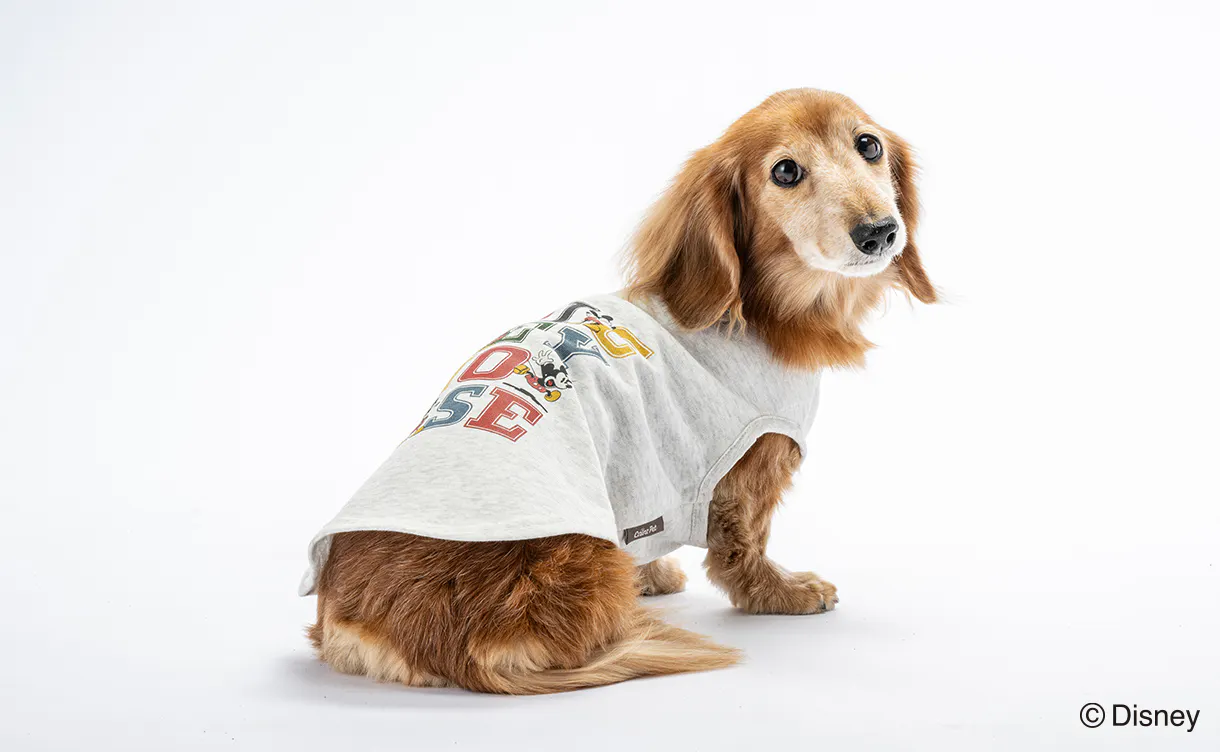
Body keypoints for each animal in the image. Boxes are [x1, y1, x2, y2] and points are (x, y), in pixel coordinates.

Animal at [301, 89, 936, 694]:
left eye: (868, 145)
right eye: (785, 171)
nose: (879, 232)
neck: (753, 311)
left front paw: (652, 577)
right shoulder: (747, 466)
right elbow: (743, 547)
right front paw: (782, 592)